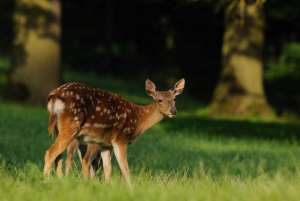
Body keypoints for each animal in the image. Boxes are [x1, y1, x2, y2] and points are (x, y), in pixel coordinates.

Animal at [44, 78, 185, 185]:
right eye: (159, 100)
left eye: (174, 99)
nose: (173, 111)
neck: (138, 120)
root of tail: (54, 96)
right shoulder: (121, 139)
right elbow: (125, 169)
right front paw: (131, 189)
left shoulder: (106, 144)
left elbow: (108, 169)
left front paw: (108, 187)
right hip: (71, 126)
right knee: (51, 153)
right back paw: (46, 180)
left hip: (59, 130)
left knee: (59, 157)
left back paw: (59, 180)